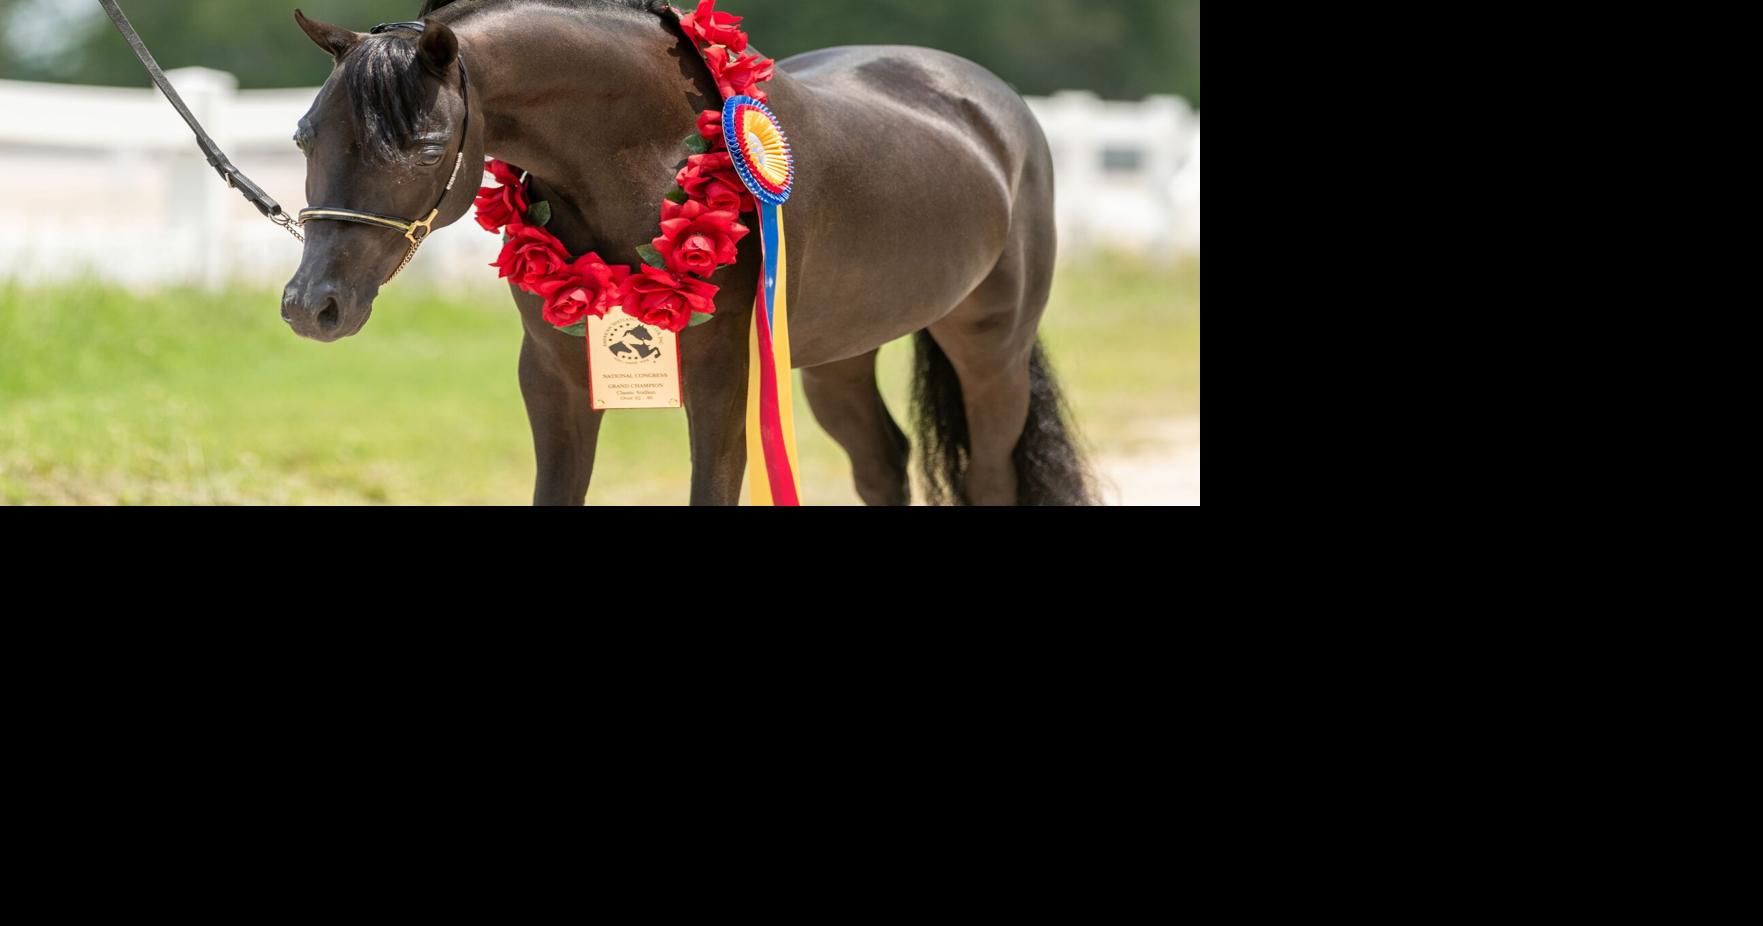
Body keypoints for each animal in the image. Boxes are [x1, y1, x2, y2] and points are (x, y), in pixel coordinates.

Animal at [280, 0, 1096, 506]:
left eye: (424, 149)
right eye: (304, 135)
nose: (311, 306)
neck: (655, 148)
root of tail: (996, 107)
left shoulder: (722, 375)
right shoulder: (553, 377)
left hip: (990, 349)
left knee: (989, 475)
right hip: (838, 358)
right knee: (881, 462)